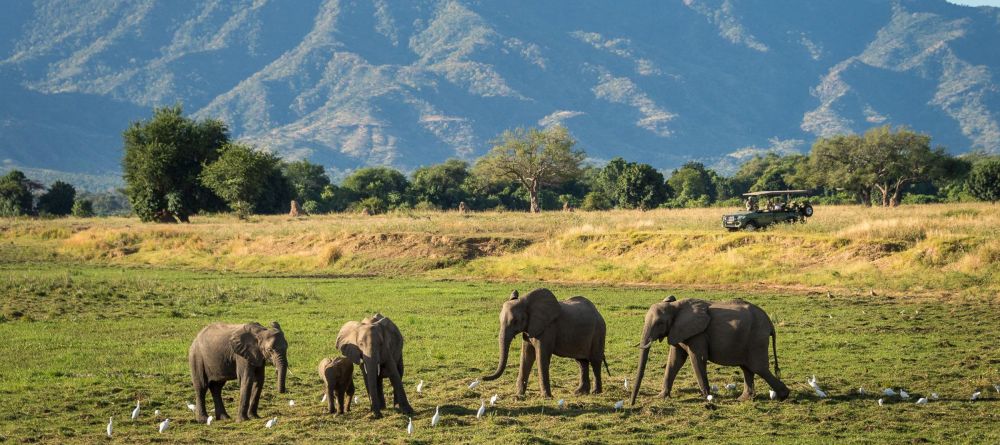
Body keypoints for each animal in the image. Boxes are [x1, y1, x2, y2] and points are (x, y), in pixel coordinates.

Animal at [632, 296, 788, 404]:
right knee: (747, 368)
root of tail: (770, 324)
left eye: (659, 323)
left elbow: (697, 358)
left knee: (758, 368)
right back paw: (743, 399)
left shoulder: (698, 333)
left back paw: (784, 395)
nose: (632, 404)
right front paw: (661, 397)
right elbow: (674, 361)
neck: (675, 307)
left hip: (756, 338)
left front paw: (707, 397)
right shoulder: (677, 331)